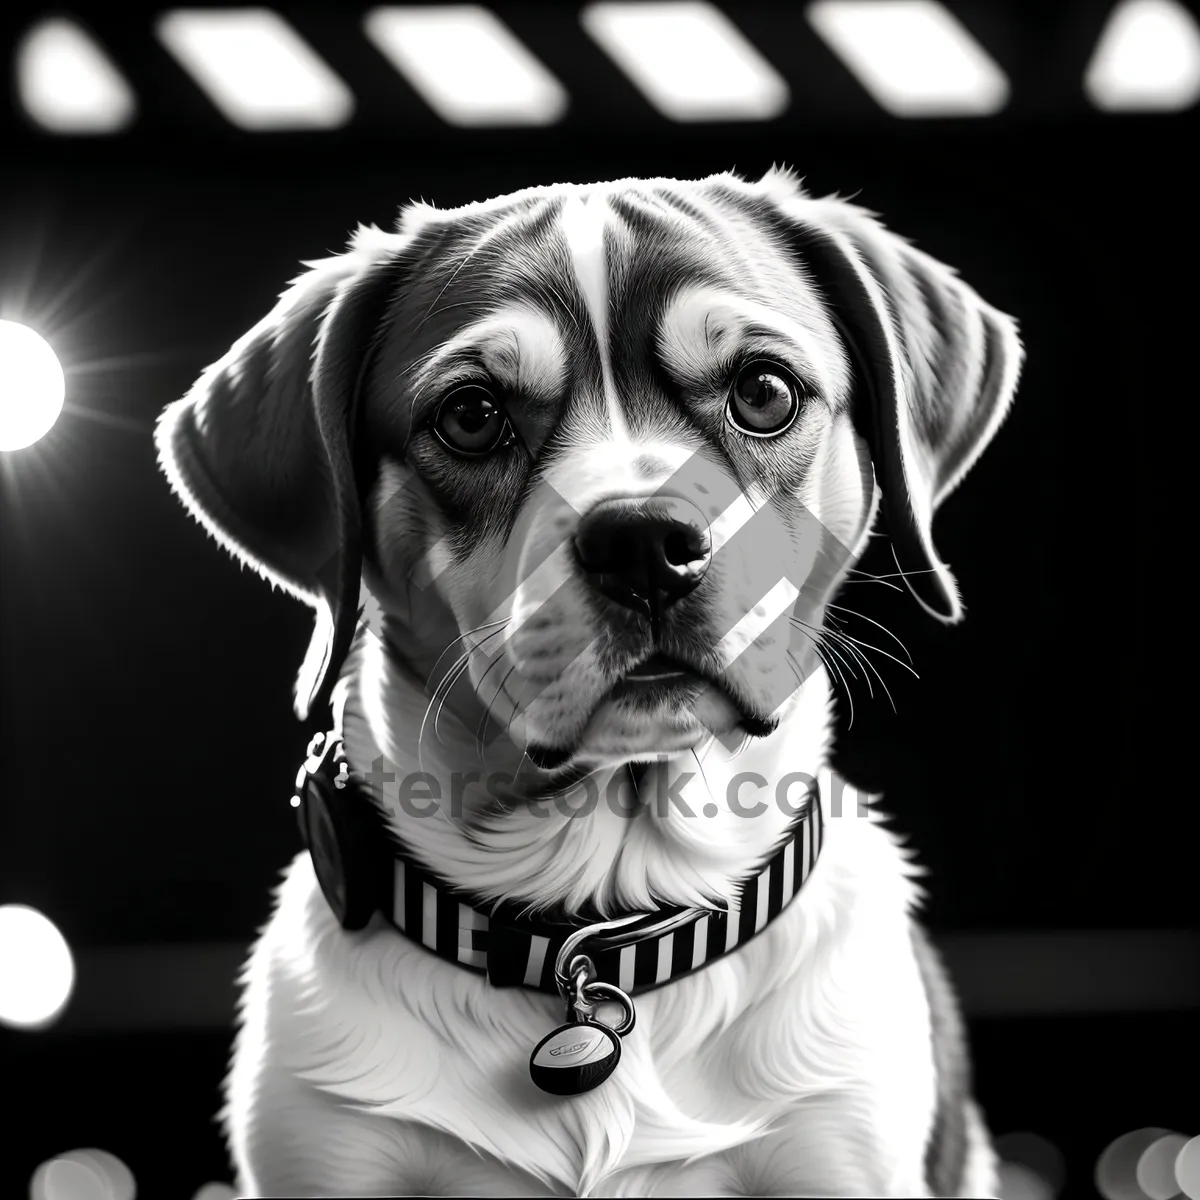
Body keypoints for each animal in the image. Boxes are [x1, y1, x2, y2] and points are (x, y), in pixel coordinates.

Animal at [154, 164, 1022, 1195]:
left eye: (764, 391)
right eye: (471, 415)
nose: (645, 540)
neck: (597, 934)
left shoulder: (839, 1156)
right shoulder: (329, 1160)